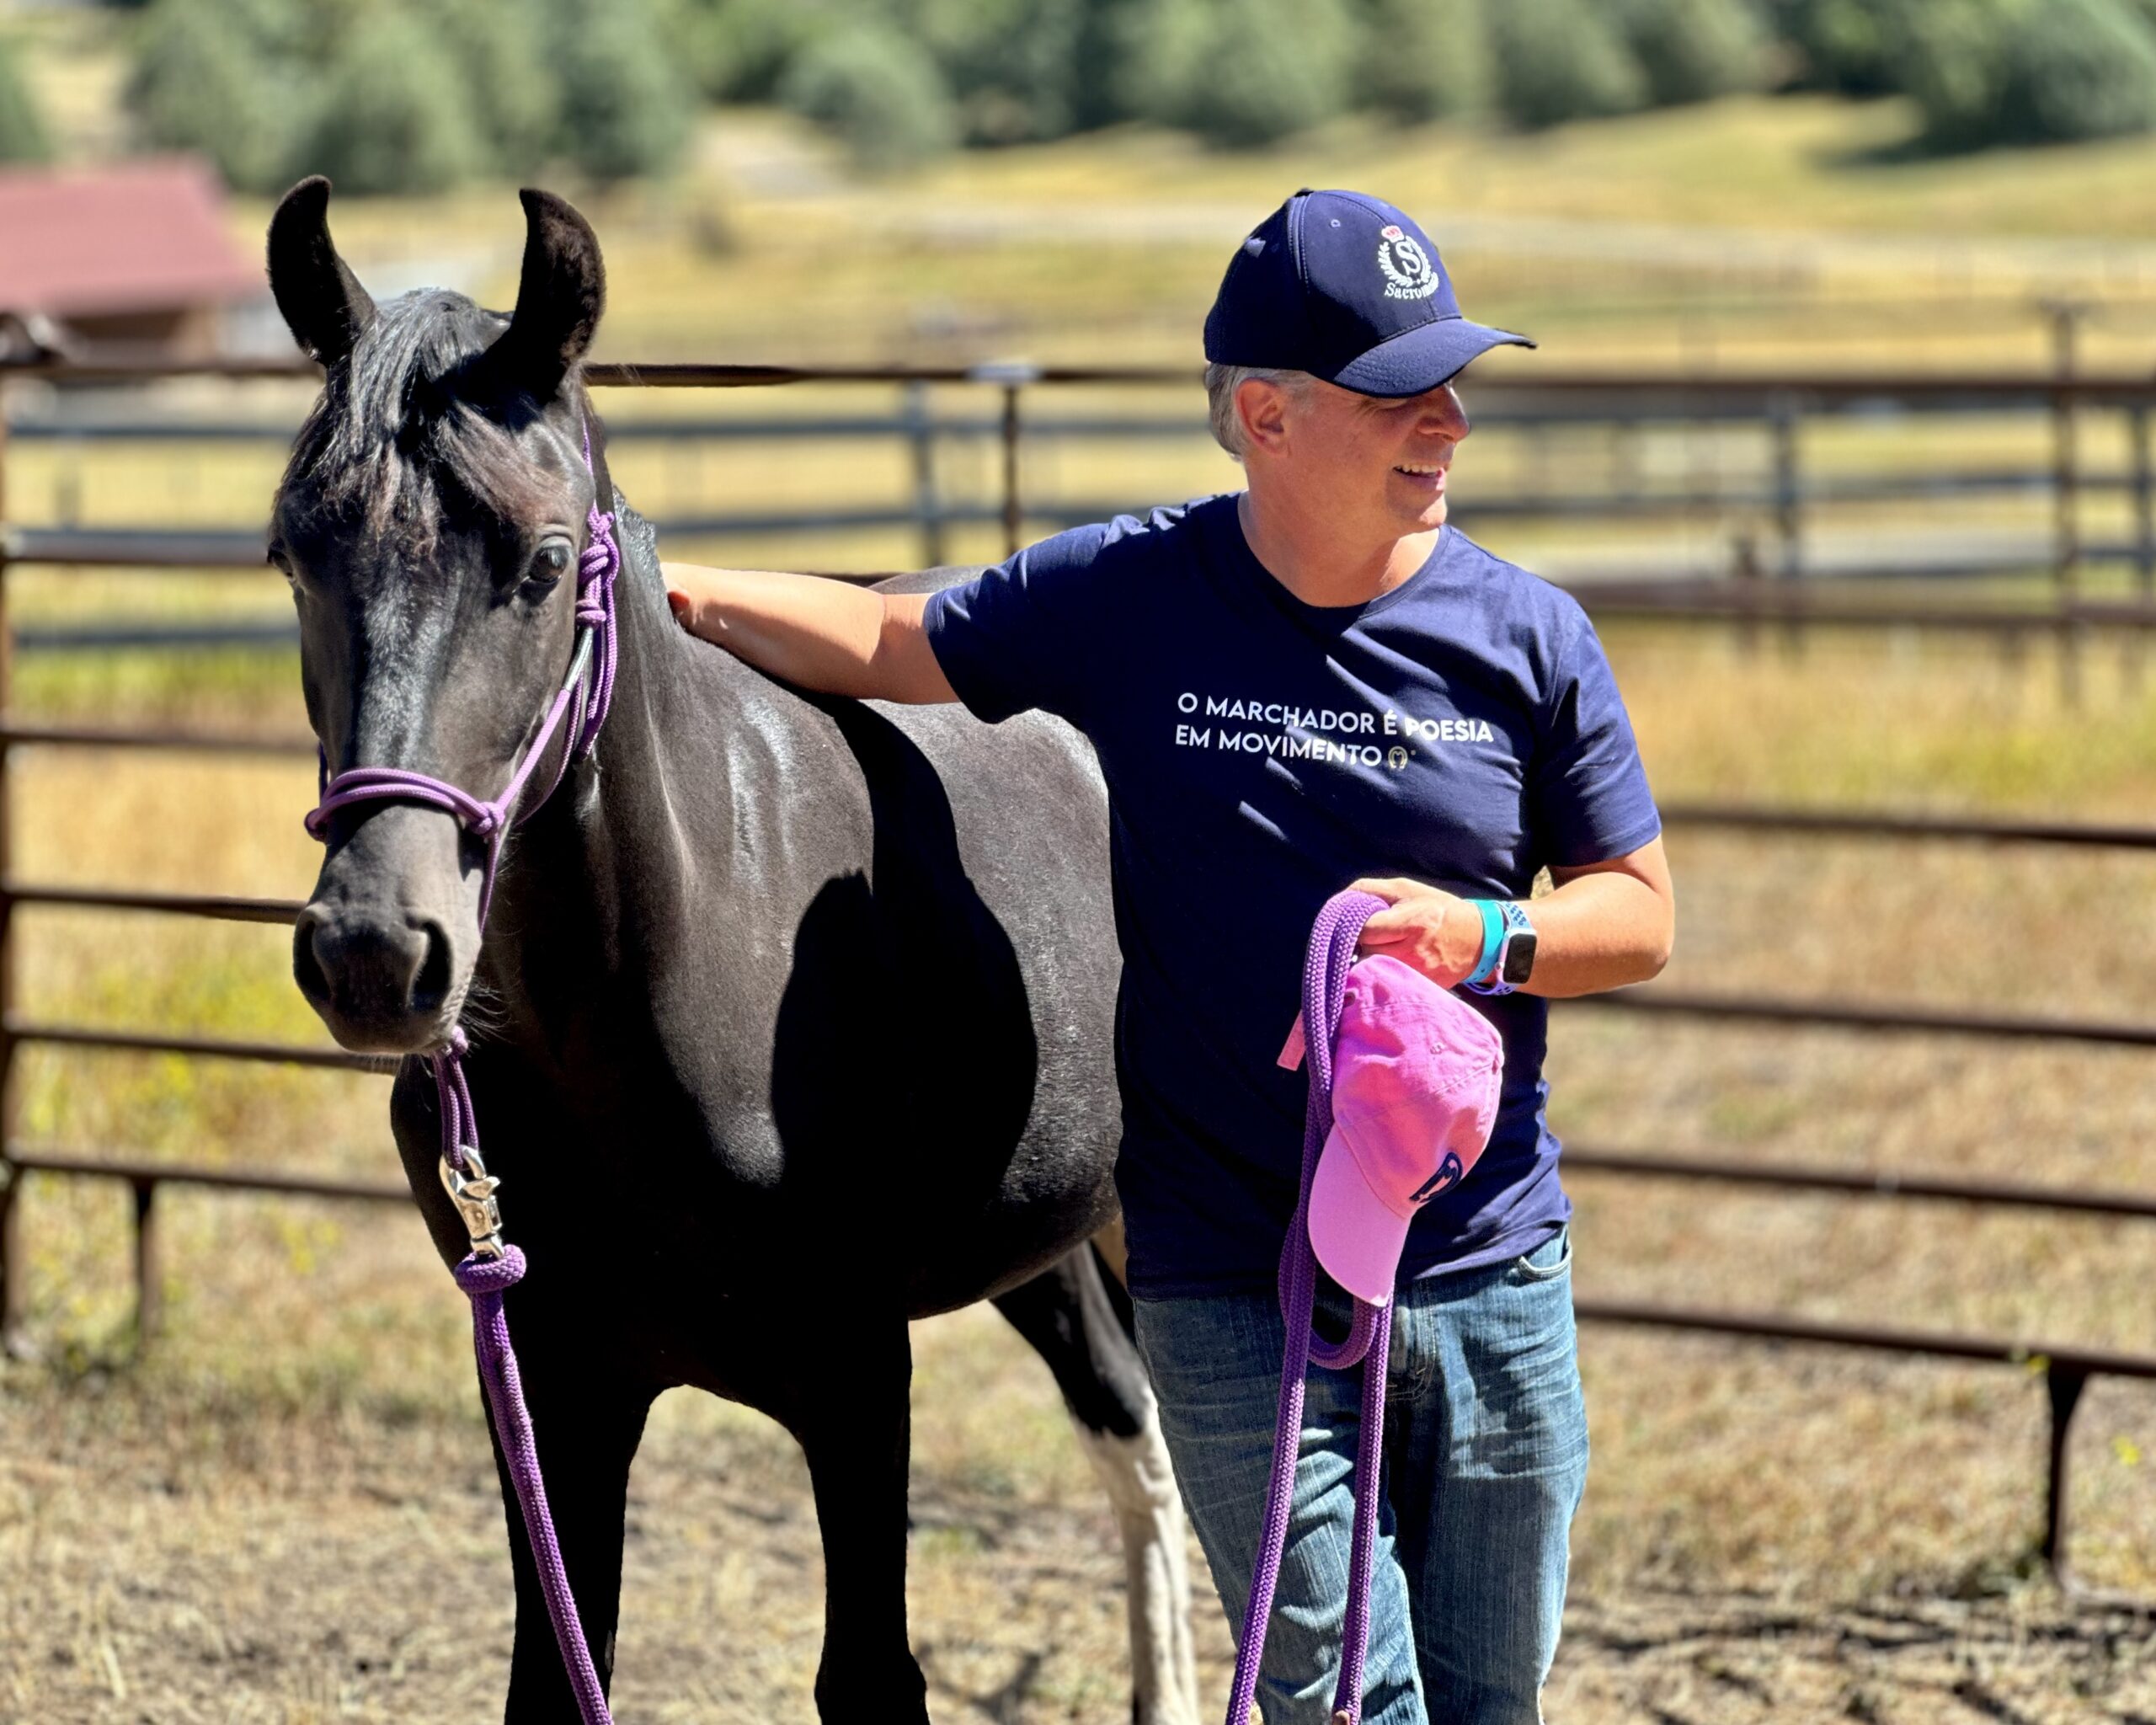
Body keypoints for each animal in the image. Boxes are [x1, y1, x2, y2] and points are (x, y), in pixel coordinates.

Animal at [267, 177, 1197, 1724]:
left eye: (539, 562)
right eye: (292, 558)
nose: (371, 954)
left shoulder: (858, 1380)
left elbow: (869, 1675)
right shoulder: (553, 1387)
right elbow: (558, 1674)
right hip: (1062, 1227)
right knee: (1135, 1428)